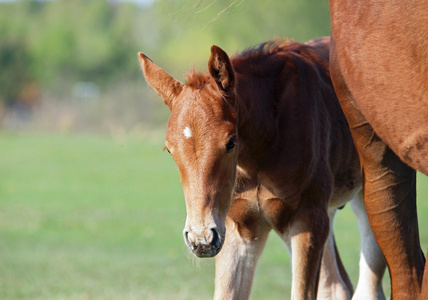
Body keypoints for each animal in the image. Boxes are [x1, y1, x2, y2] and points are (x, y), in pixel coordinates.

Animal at [140, 38, 384, 300]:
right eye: (169, 150)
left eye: (231, 142)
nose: (201, 238)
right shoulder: (237, 228)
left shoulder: (307, 220)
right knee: (336, 285)